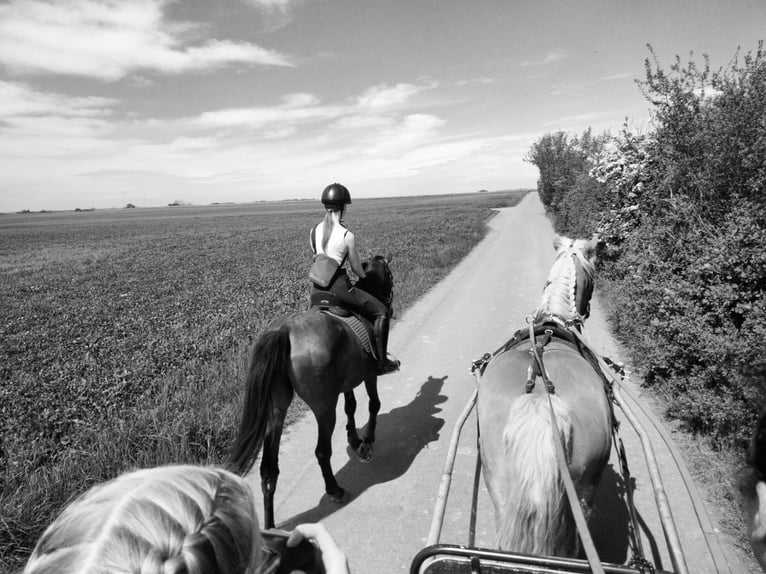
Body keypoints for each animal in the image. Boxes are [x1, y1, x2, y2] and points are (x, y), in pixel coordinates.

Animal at [228, 256, 396, 532]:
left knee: (269, 469)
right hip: (324, 407)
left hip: (276, 409)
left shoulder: (348, 380)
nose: (390, 303)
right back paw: (335, 490)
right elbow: (373, 404)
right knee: (321, 451)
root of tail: (285, 330)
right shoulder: (369, 374)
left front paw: (354, 440)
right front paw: (367, 441)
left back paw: (271, 526)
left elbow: (351, 406)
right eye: (389, 275)